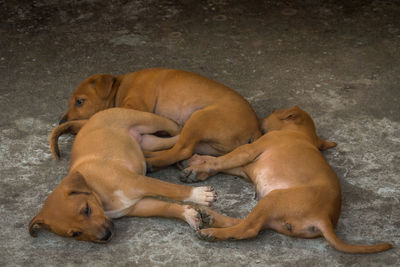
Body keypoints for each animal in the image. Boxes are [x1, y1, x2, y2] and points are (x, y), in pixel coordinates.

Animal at [28, 108, 219, 244]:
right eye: (76, 233)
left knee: (178, 130)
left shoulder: (139, 181)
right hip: (147, 141)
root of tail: (89, 119)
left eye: (87, 209)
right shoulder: (136, 206)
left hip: (149, 121)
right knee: (174, 142)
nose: (106, 236)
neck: (97, 191)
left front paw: (200, 195)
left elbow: (172, 189)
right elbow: (165, 208)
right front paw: (188, 215)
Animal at [182, 105, 394, 254]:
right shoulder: (247, 166)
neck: (301, 134)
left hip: (275, 197)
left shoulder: (249, 151)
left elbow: (221, 160)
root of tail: (324, 217)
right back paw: (211, 218)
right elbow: (219, 162)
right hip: (276, 217)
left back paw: (213, 232)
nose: (258, 118)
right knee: (250, 222)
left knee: (248, 228)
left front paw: (197, 167)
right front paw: (198, 165)